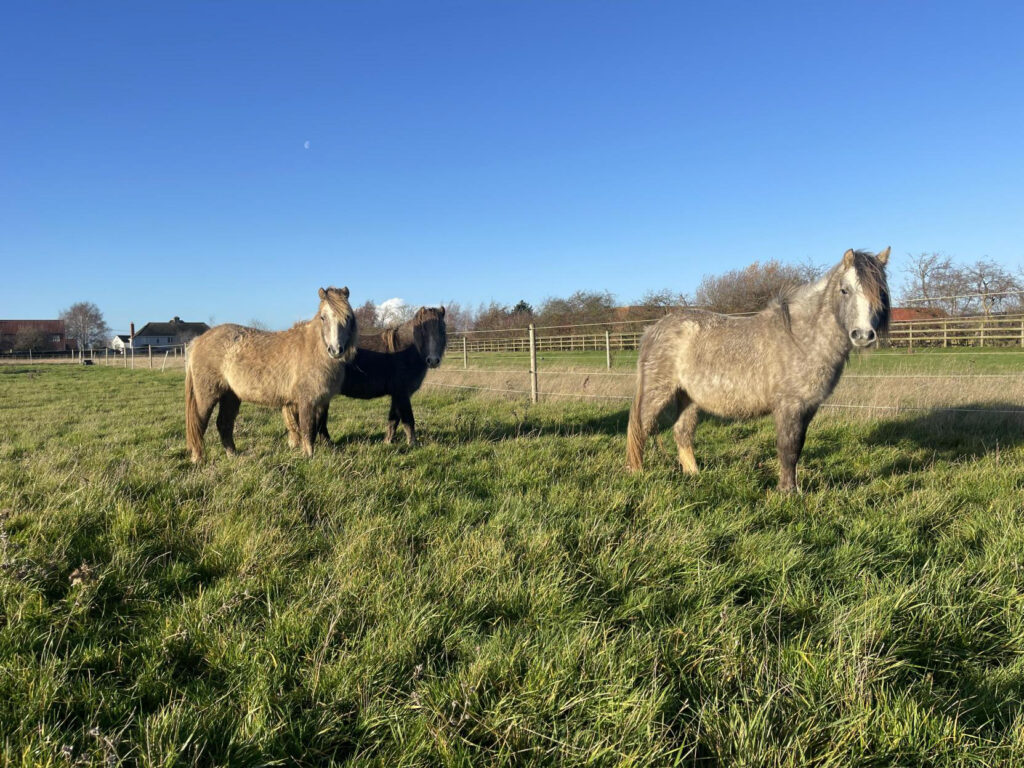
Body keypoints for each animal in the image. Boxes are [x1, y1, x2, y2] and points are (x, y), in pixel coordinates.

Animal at [185, 287, 357, 461]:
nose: (335, 350)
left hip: (230, 395)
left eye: (348, 317)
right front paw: (308, 456)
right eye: (323, 317)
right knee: (199, 424)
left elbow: (319, 426)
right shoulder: (306, 401)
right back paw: (198, 459)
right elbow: (307, 429)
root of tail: (198, 341)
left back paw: (233, 455)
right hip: (206, 396)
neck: (313, 349)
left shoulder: (322, 401)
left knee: (224, 424)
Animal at [315, 306, 446, 446]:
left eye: (442, 329)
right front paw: (412, 444)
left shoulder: (397, 395)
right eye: (422, 331)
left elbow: (393, 419)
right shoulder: (402, 394)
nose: (433, 360)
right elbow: (408, 419)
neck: (406, 350)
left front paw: (388, 441)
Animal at [627, 248, 890, 492]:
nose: (863, 335)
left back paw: (694, 475)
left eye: (881, 292)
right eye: (844, 290)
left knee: (682, 432)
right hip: (658, 393)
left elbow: (798, 447)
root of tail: (652, 329)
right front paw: (787, 492)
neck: (801, 338)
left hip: (688, 397)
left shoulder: (808, 407)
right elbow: (788, 449)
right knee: (640, 428)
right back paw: (636, 474)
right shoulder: (788, 406)